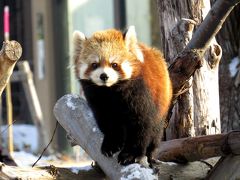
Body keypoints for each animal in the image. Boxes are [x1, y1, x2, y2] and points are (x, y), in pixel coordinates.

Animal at [72, 26, 172, 165]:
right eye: (94, 64)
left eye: (114, 64)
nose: (104, 76)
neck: (110, 91)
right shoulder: (97, 99)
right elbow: (108, 122)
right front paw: (111, 145)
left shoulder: (139, 95)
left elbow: (141, 124)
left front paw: (130, 154)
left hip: (162, 102)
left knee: (156, 130)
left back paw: (150, 153)